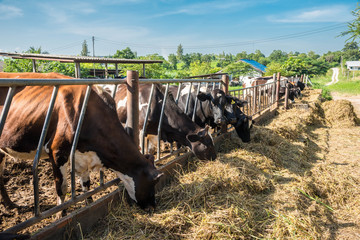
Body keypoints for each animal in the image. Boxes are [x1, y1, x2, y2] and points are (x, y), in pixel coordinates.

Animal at [0, 72, 163, 213]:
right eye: (152, 183)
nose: (152, 207)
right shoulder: (57, 152)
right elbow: (62, 188)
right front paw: (61, 215)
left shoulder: (82, 157)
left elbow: (86, 185)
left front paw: (89, 205)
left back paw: (10, 205)